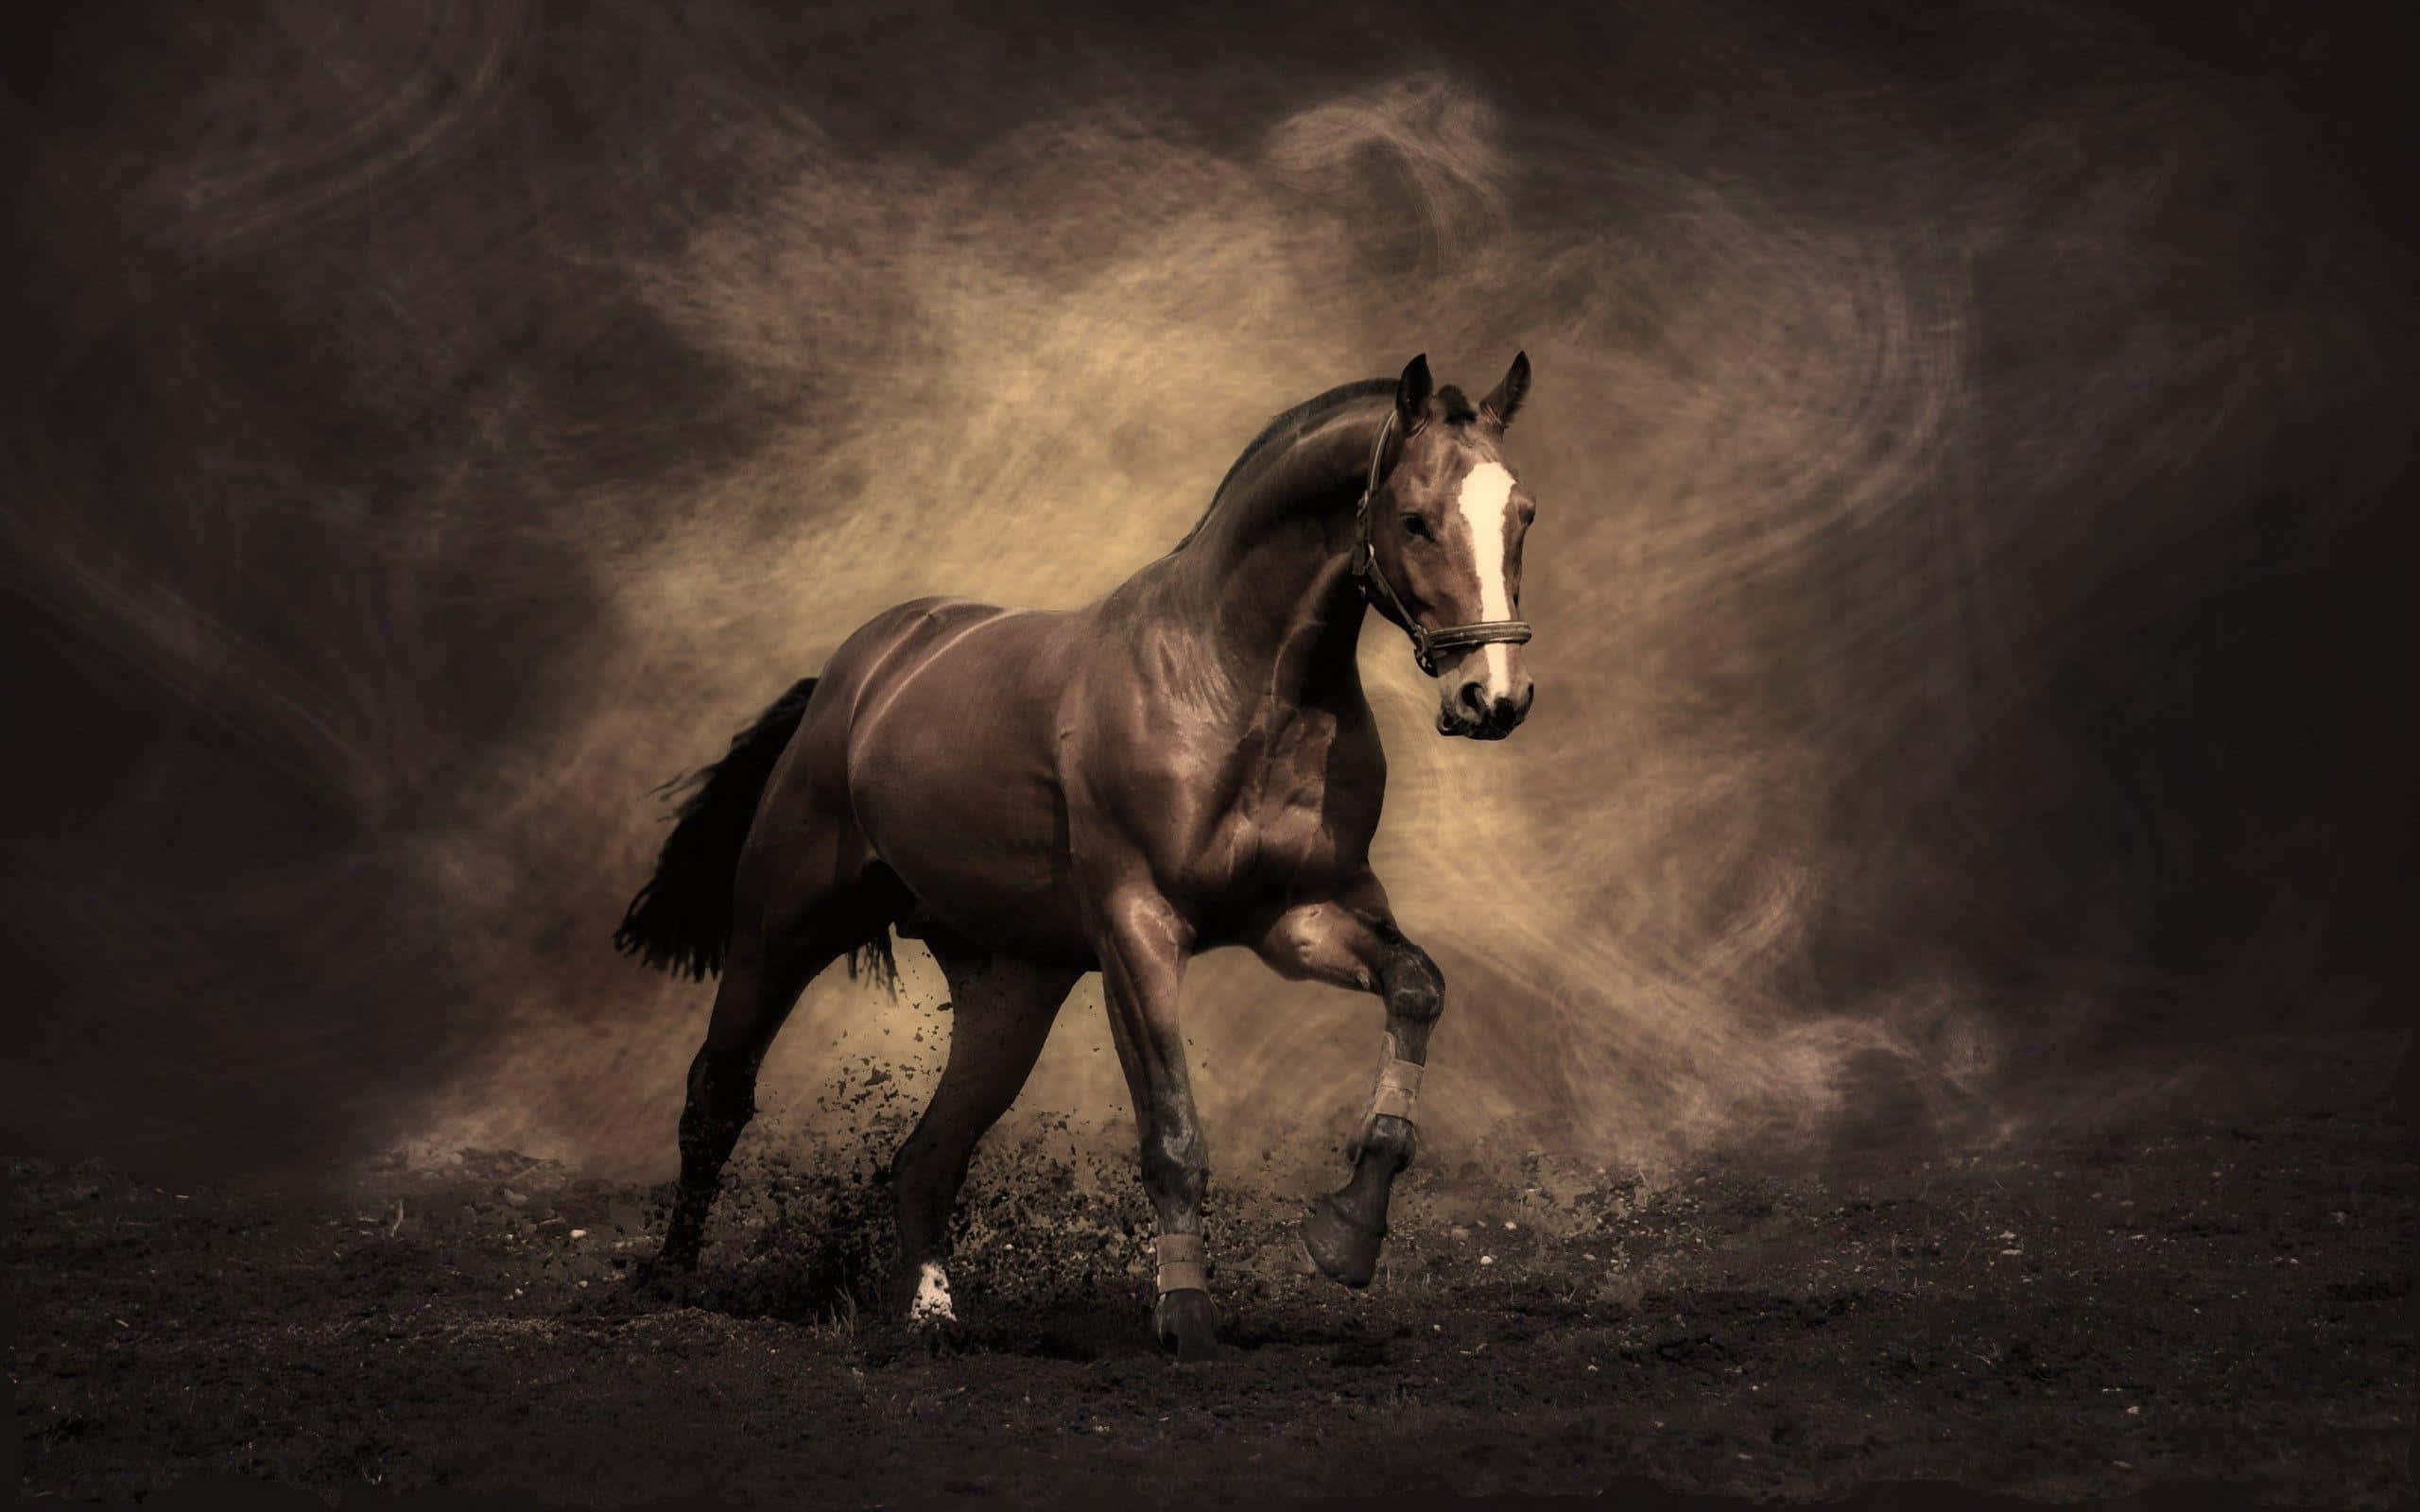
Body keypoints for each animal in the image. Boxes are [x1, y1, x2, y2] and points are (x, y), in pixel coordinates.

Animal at [614, 351, 1540, 1359]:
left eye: (1522, 514)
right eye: (1412, 518)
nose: (1494, 698)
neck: (1236, 685)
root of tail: (858, 677)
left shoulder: (1300, 917)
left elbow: (1417, 989)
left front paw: (1345, 1238)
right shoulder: (1137, 930)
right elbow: (1172, 1134)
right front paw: (1187, 1321)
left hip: (1011, 988)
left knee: (927, 1155)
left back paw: (930, 1316)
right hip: (782, 928)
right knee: (717, 1097)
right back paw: (671, 1281)